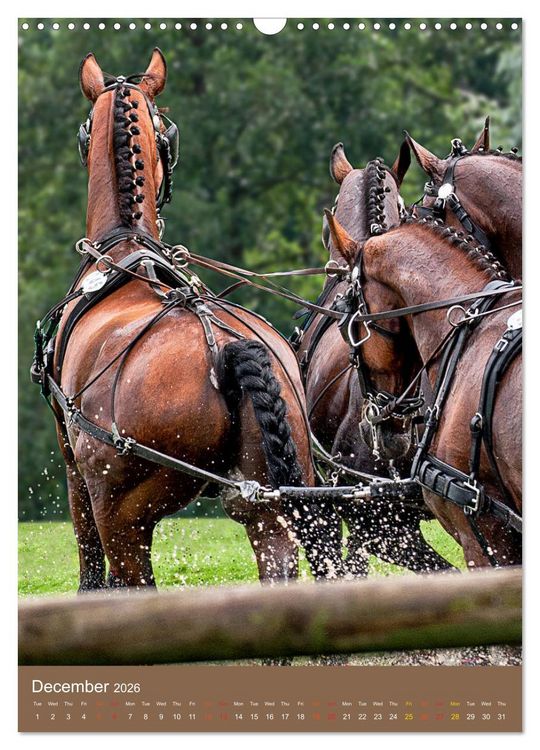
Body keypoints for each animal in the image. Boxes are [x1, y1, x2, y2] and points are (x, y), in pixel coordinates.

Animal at [42, 49, 343, 590]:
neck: (122, 248)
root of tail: (225, 347)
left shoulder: (74, 466)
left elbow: (89, 571)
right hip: (267, 499)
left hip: (123, 510)